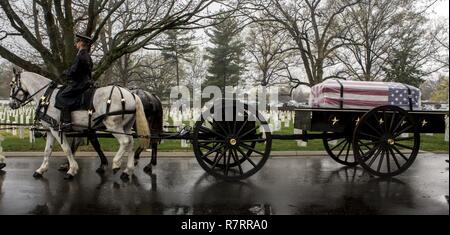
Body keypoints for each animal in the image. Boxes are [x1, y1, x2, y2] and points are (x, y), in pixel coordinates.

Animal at [8, 70, 150, 181]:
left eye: (12, 84)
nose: (11, 104)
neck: (47, 97)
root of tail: (131, 95)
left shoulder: (56, 129)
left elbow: (67, 149)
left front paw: (72, 170)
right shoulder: (50, 130)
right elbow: (47, 151)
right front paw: (41, 170)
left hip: (114, 127)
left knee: (125, 142)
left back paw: (116, 163)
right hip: (126, 127)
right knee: (131, 143)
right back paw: (128, 170)